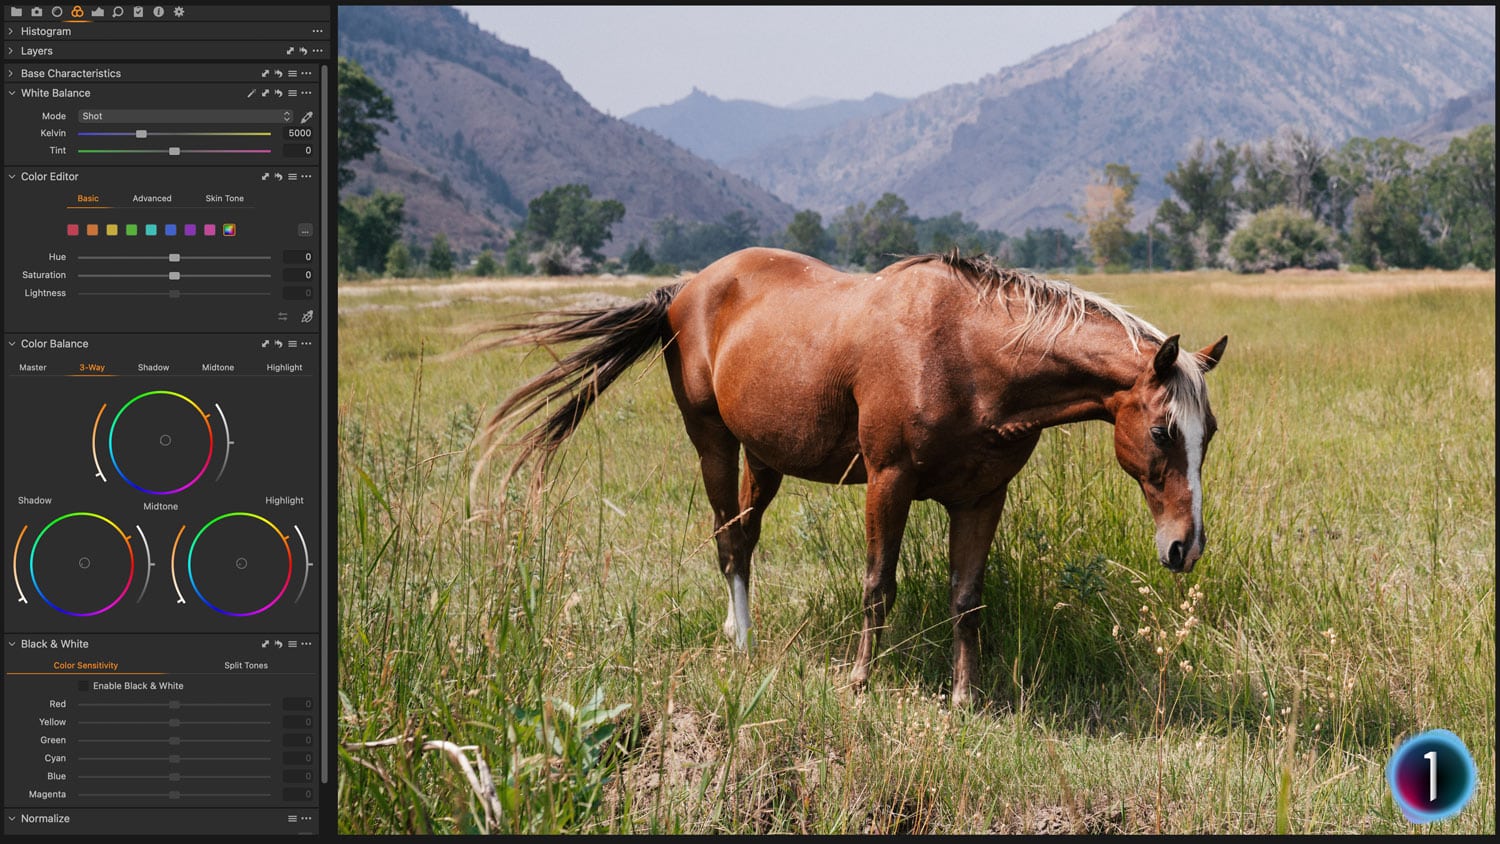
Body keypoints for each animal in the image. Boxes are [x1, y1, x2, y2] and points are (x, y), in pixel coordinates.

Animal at [462, 248, 1224, 707]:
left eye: (1207, 433)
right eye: (1163, 431)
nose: (1184, 547)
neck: (968, 354)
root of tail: (688, 288)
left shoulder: (982, 497)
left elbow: (967, 599)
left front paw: (965, 699)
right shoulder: (889, 482)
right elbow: (878, 586)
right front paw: (860, 682)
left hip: (765, 456)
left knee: (743, 540)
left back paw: (735, 630)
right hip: (713, 443)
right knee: (728, 541)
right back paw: (743, 643)